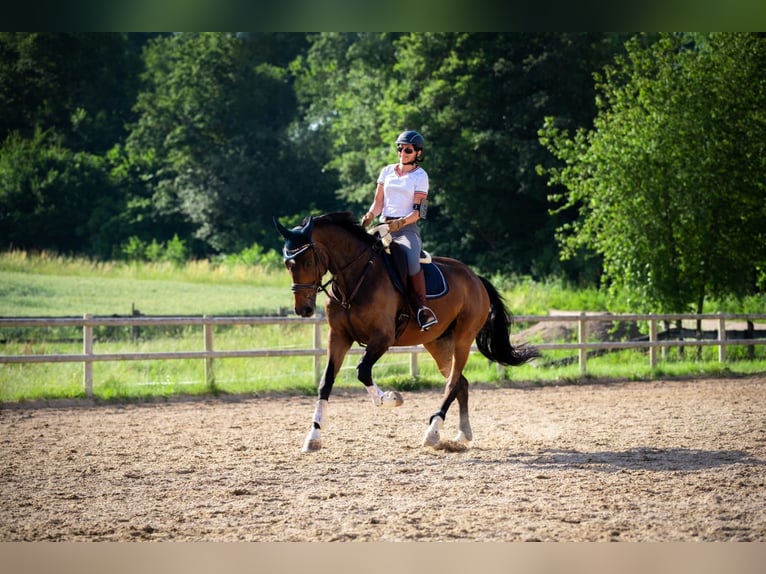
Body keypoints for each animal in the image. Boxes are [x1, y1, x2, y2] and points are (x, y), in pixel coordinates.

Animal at [274, 213, 540, 454]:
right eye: (288, 265)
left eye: (308, 262)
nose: (304, 310)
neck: (356, 277)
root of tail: (474, 277)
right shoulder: (339, 336)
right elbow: (326, 382)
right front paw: (313, 437)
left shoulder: (382, 338)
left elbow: (362, 371)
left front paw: (391, 398)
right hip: (438, 343)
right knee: (461, 383)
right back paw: (462, 435)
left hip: (463, 339)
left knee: (453, 382)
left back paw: (432, 432)